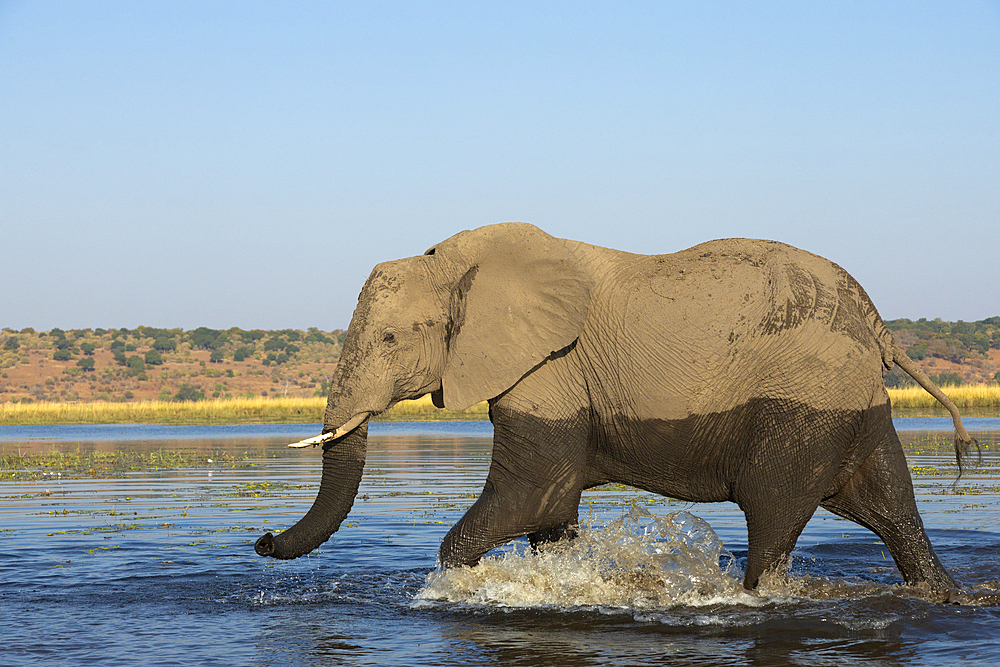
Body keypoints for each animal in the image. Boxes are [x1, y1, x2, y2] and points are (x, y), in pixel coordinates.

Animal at [252, 223, 976, 588]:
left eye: (391, 339)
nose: (260, 540)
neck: (456, 260)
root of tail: (875, 318)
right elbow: (549, 512)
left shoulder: (551, 366)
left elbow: (532, 492)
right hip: (850, 404)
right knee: (890, 505)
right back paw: (939, 593)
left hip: (806, 402)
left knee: (774, 519)